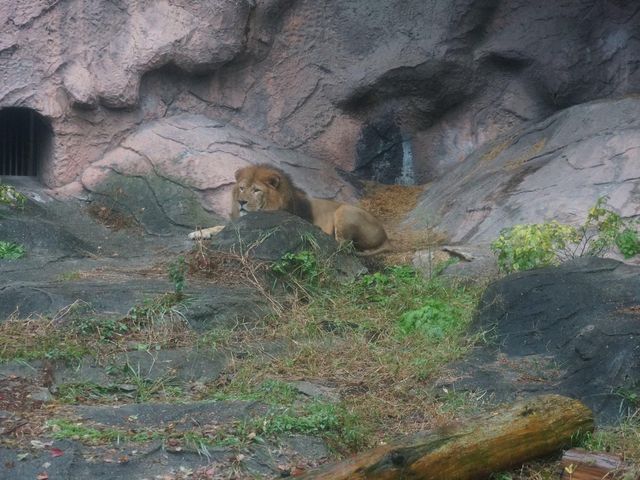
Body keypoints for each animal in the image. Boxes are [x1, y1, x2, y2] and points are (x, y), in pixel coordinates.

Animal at [188, 164, 392, 256]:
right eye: (242, 188)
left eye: (256, 190)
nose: (241, 202)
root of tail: (386, 236)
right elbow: (219, 226)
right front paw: (198, 233)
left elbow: (223, 227)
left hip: (345, 211)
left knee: (343, 245)